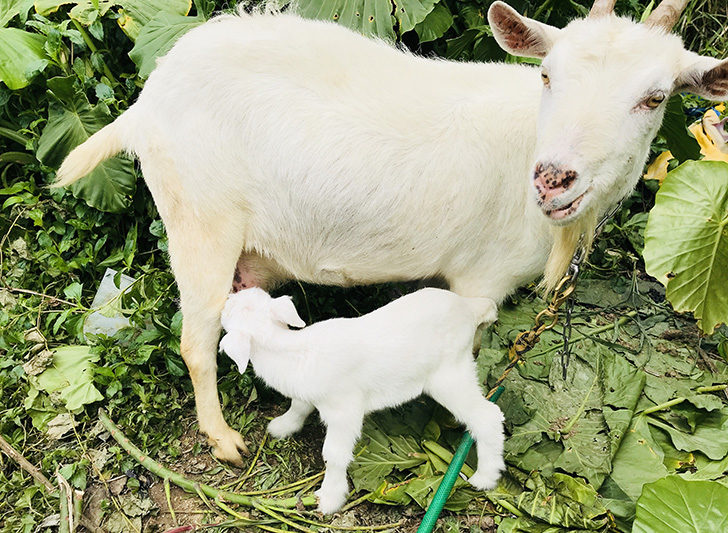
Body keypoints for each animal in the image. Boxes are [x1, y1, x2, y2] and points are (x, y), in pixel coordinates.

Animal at [55, 0, 728, 464]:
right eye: (547, 76)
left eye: (655, 97)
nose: (553, 179)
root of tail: (144, 105)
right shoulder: (479, 281)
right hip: (201, 220)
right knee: (196, 340)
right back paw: (223, 440)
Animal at [219, 284, 504, 512]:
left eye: (228, 312)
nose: (227, 295)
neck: (290, 350)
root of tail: (469, 309)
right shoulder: (310, 394)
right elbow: (299, 406)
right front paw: (282, 426)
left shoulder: (344, 411)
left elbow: (333, 454)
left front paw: (329, 499)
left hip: (449, 376)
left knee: (487, 417)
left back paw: (485, 477)